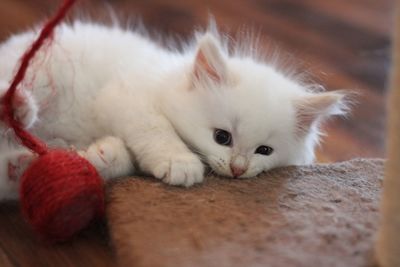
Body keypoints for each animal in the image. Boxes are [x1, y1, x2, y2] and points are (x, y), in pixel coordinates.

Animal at [0, 21, 346, 199]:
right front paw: (180, 163)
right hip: (39, 74)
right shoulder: (126, 96)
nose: (238, 169)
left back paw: (20, 163)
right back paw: (16, 106)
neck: (167, 80)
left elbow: (123, 157)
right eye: (222, 137)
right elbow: (157, 130)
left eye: (264, 151)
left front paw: (100, 156)